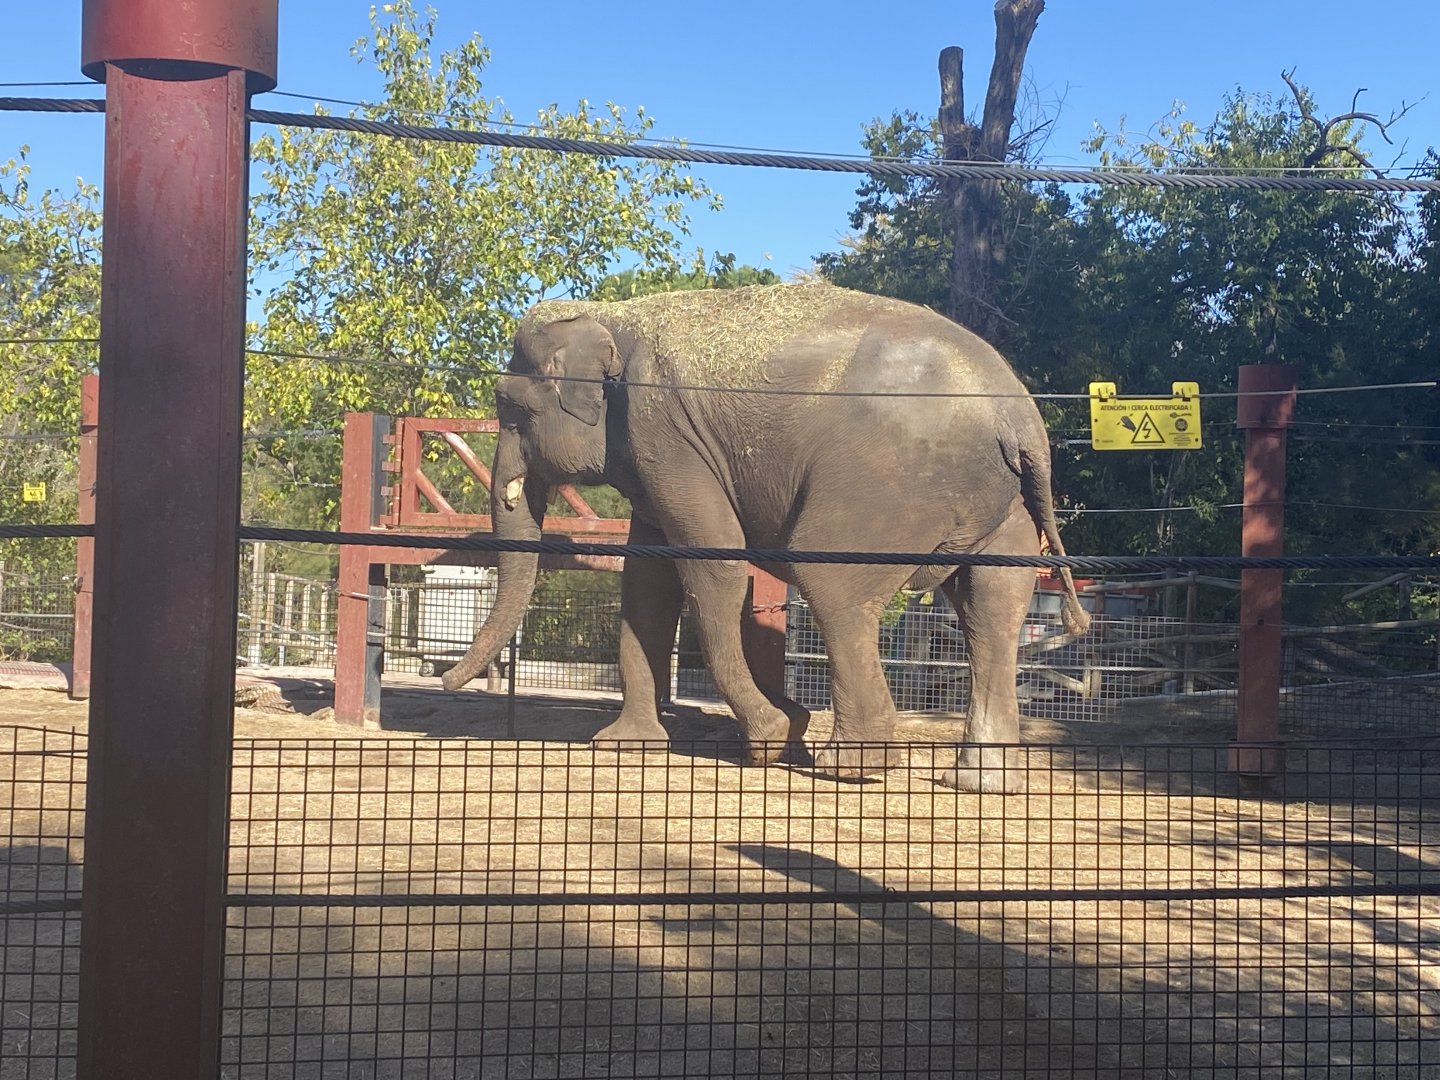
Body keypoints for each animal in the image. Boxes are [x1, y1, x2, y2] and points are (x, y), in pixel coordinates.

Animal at [441, 283, 1088, 791]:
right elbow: (647, 581)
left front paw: (774, 736)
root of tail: (1021, 416)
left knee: (832, 582)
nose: (443, 680)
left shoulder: (662, 430)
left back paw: (852, 768)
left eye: (511, 408)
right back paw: (979, 782)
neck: (612, 314)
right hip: (1003, 507)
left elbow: (712, 565)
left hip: (886, 486)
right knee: (991, 608)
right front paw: (625, 745)